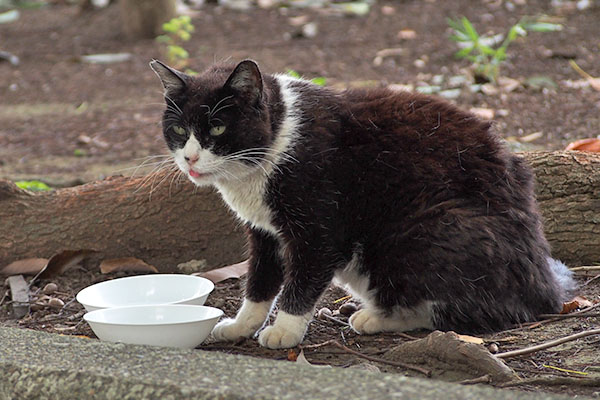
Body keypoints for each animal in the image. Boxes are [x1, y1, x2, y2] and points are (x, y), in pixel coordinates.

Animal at [150, 57, 576, 348]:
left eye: (218, 128)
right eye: (179, 129)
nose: (190, 158)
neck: (278, 141)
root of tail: (545, 285)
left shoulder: (320, 227)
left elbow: (302, 280)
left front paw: (284, 330)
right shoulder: (264, 231)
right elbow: (260, 280)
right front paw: (242, 325)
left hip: (434, 226)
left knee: (476, 311)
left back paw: (377, 318)